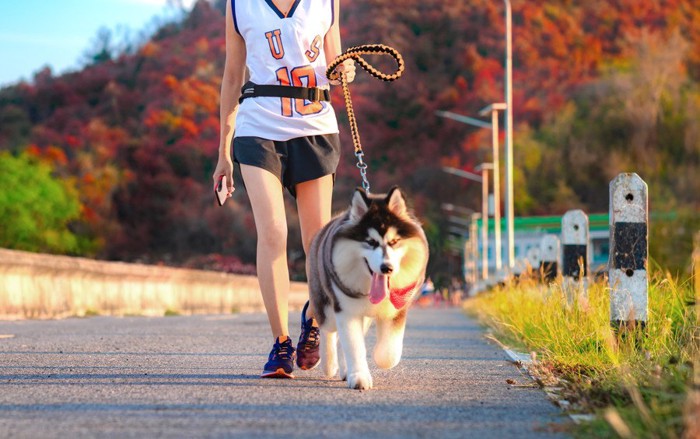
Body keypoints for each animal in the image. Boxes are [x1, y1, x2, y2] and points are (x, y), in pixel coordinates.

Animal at [308, 187, 430, 390]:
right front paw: (359, 376)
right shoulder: (346, 310)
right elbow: (354, 345)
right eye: (371, 242)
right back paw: (329, 364)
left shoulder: (397, 308)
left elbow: (389, 353)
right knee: (328, 330)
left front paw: (378, 358)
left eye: (394, 241)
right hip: (325, 302)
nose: (386, 268)